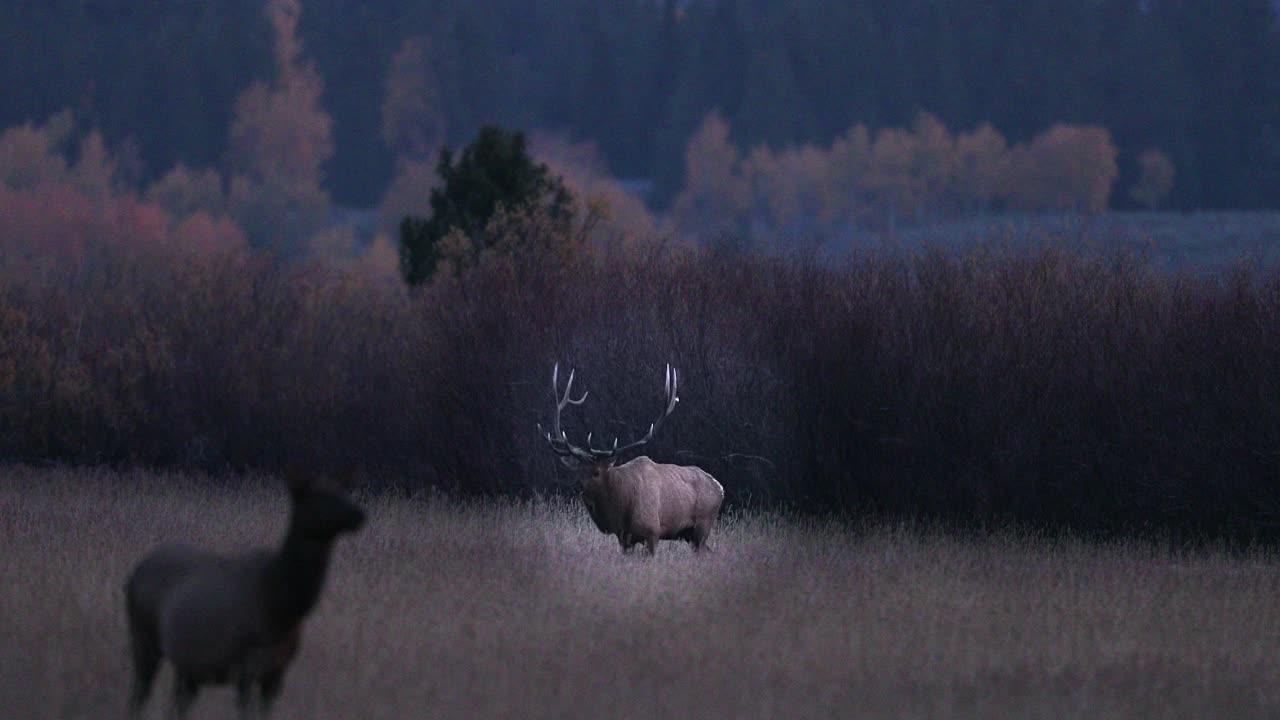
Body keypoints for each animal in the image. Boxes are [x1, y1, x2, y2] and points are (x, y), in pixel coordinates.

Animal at [123, 466, 366, 712]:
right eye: (317, 497)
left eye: (344, 492)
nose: (358, 514)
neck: (282, 610)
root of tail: (134, 573)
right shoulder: (245, 662)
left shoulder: (278, 670)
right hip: (143, 636)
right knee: (139, 693)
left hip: (187, 663)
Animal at [537, 361, 721, 550]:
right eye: (578, 471)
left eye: (596, 472)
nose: (580, 487)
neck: (622, 508)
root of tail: (720, 488)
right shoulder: (624, 538)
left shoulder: (652, 531)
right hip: (690, 535)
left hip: (703, 525)